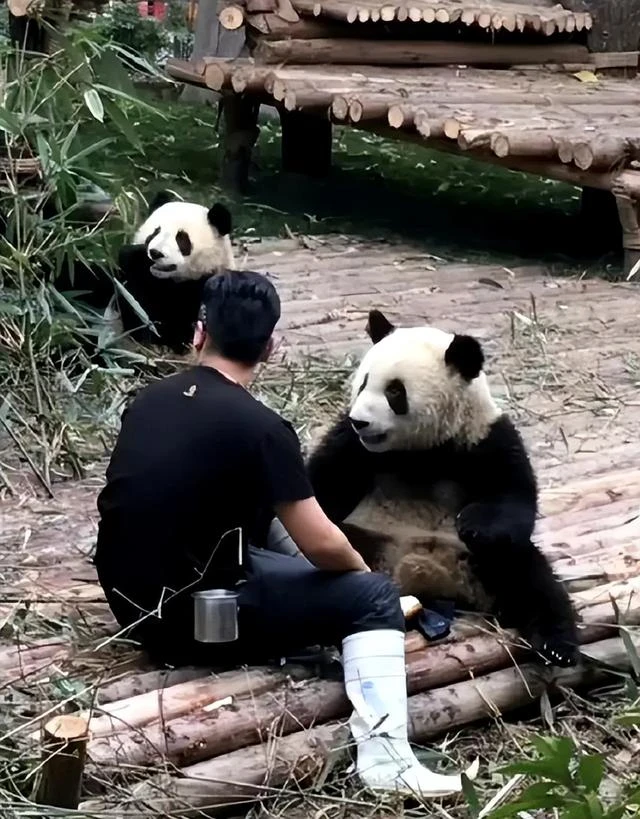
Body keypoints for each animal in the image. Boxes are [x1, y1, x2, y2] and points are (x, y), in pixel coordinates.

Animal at [308, 310, 584, 668]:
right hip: (366, 539)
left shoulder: (484, 439)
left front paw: (474, 525)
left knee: (531, 578)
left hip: (483, 563)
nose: (361, 422)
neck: (422, 451)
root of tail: (425, 578)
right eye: (364, 382)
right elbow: (323, 486)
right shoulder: (353, 448)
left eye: (395, 392)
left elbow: (514, 498)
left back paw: (556, 645)